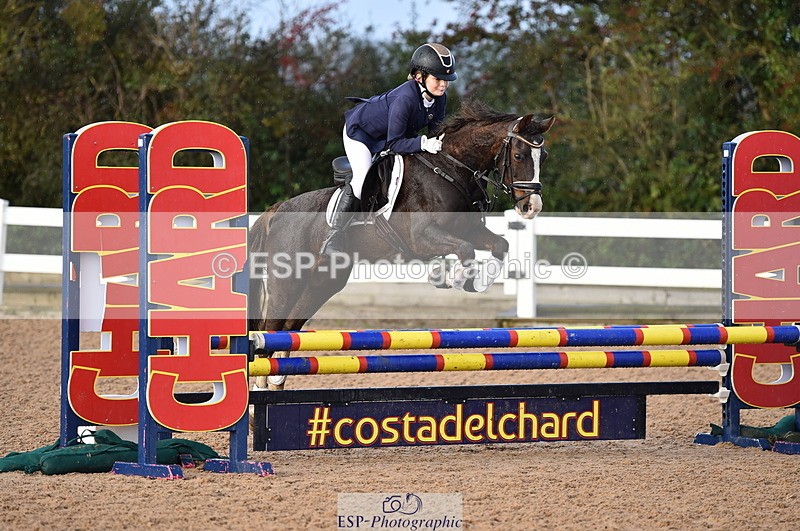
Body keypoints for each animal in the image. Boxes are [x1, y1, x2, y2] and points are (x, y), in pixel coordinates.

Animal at [248, 100, 554, 388]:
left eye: (544, 157)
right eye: (518, 155)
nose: (531, 207)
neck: (451, 170)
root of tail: (276, 210)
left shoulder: (470, 229)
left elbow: (499, 245)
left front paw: (476, 282)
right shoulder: (421, 237)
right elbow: (464, 250)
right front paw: (450, 278)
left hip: (320, 284)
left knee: (286, 330)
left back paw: (275, 381)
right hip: (287, 282)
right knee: (267, 330)